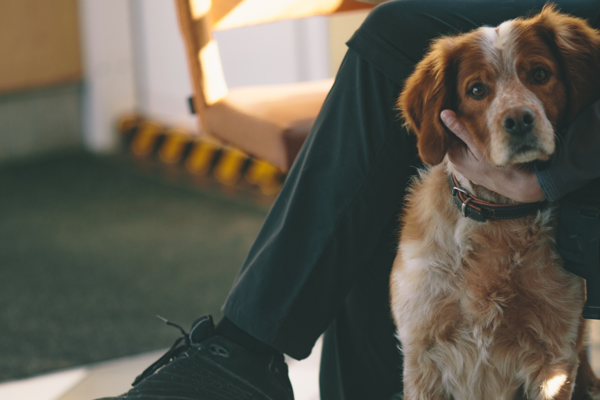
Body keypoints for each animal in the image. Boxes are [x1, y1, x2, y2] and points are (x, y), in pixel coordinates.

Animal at [390, 6, 600, 400]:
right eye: (476, 90)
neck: (501, 219)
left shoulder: (555, 360)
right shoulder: (422, 354)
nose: (518, 119)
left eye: (540, 74)